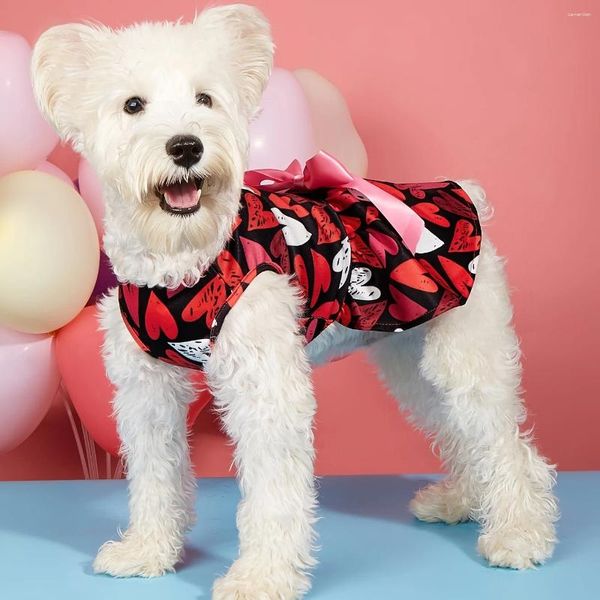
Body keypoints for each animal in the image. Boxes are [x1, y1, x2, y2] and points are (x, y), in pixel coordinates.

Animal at [31, 5, 556, 600]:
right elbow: (155, 476)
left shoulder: (267, 390)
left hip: (466, 357)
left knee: (506, 445)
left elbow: (273, 495)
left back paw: (519, 534)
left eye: (205, 99)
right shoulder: (147, 392)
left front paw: (261, 576)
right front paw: (148, 551)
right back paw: (462, 502)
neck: (186, 259)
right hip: (411, 360)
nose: (186, 146)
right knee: (459, 432)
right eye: (132, 105)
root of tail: (463, 191)